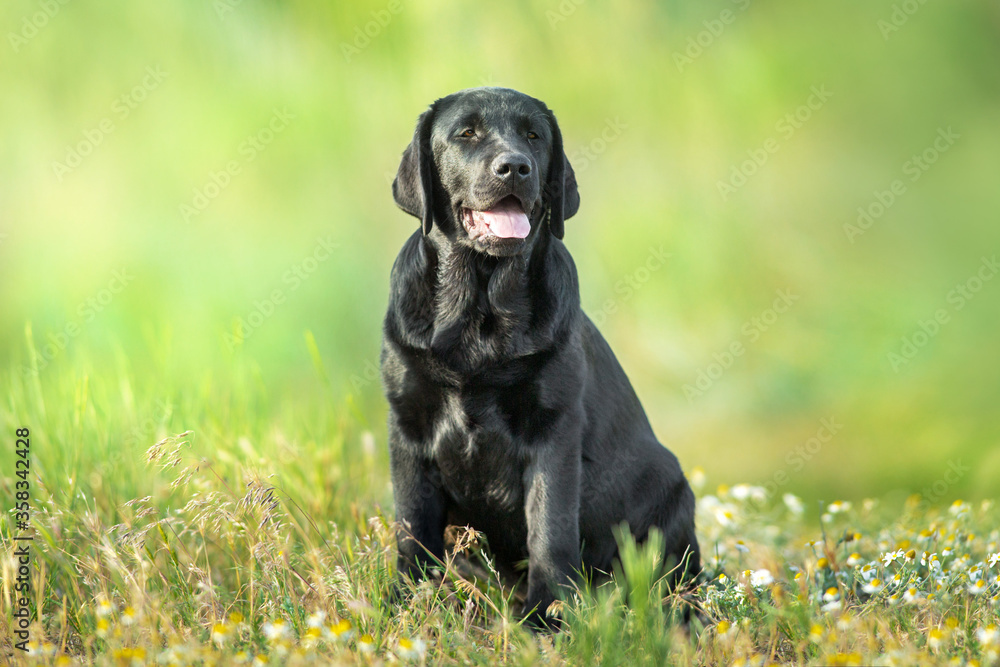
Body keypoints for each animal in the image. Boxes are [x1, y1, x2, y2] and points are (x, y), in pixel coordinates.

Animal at [378, 87, 700, 628]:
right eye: (466, 133)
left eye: (533, 135)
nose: (515, 167)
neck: (481, 306)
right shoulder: (408, 426)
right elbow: (413, 528)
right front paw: (410, 601)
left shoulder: (553, 430)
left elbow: (549, 528)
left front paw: (548, 615)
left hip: (670, 486)